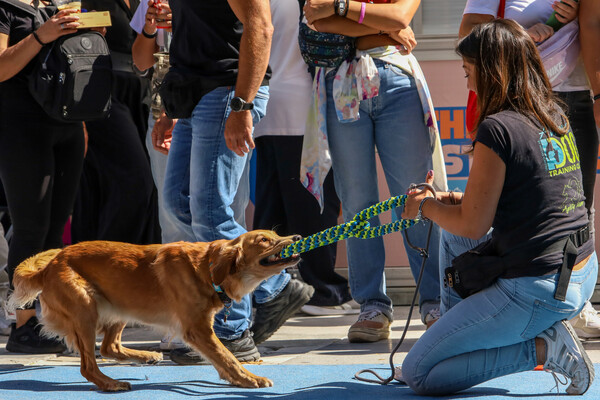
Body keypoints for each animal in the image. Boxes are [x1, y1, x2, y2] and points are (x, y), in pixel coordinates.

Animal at [8, 231, 300, 390]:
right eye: (264, 239)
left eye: (276, 235)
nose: (297, 237)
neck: (206, 267)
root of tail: (50, 265)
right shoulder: (197, 330)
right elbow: (227, 357)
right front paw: (250, 379)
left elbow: (222, 359)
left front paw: (239, 379)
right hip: (85, 308)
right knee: (89, 366)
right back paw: (111, 384)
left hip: (119, 305)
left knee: (109, 347)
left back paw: (146, 356)